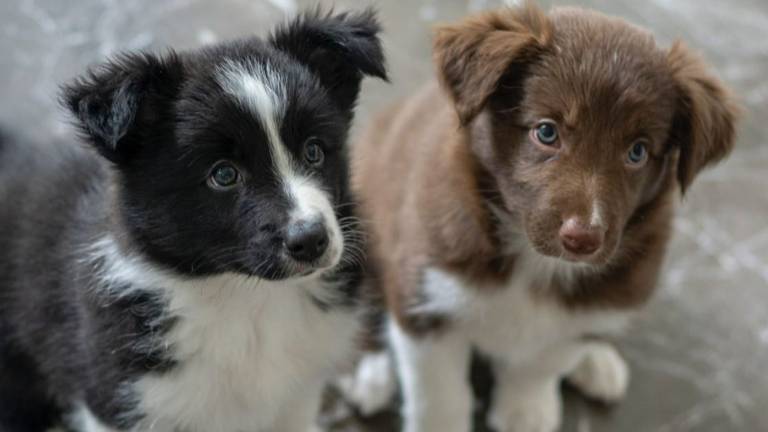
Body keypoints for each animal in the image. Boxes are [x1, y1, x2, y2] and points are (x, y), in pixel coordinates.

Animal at [0, 9, 384, 432]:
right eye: (224, 174)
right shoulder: (116, 400)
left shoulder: (295, 397)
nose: (312, 239)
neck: (244, 297)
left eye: (314, 151)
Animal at [344, 3, 736, 432]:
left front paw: (525, 411)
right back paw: (370, 374)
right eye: (546, 132)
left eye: (638, 152)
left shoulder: (589, 306)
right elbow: (440, 395)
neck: (533, 261)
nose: (583, 239)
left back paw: (597, 360)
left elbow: (544, 361)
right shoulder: (426, 297)